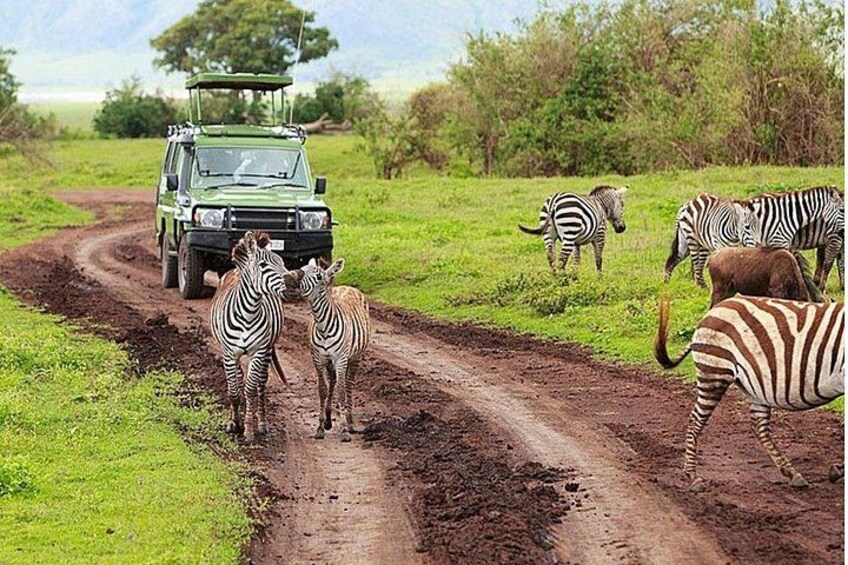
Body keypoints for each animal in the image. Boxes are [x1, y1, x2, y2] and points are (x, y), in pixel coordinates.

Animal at [210, 231, 290, 444]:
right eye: (263, 266)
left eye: (282, 262)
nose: (293, 281)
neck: (248, 313)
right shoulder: (229, 353)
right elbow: (234, 390)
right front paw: (234, 424)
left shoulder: (258, 352)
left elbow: (251, 390)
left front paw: (248, 430)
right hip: (232, 354)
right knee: (237, 380)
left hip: (267, 350)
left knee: (261, 384)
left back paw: (261, 424)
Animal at [283, 258, 371, 442]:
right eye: (302, 268)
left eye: (318, 276)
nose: (287, 278)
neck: (323, 325)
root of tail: (348, 287)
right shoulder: (318, 359)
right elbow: (322, 390)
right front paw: (320, 427)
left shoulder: (340, 359)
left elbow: (342, 391)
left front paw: (344, 430)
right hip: (331, 362)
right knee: (333, 381)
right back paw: (329, 420)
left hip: (355, 357)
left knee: (348, 384)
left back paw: (350, 422)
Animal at [654, 296, 844, 490]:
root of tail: (713, 311)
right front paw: (837, 470)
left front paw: (837, 470)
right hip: (714, 373)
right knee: (695, 420)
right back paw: (692, 476)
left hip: (755, 388)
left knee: (759, 426)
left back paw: (792, 474)